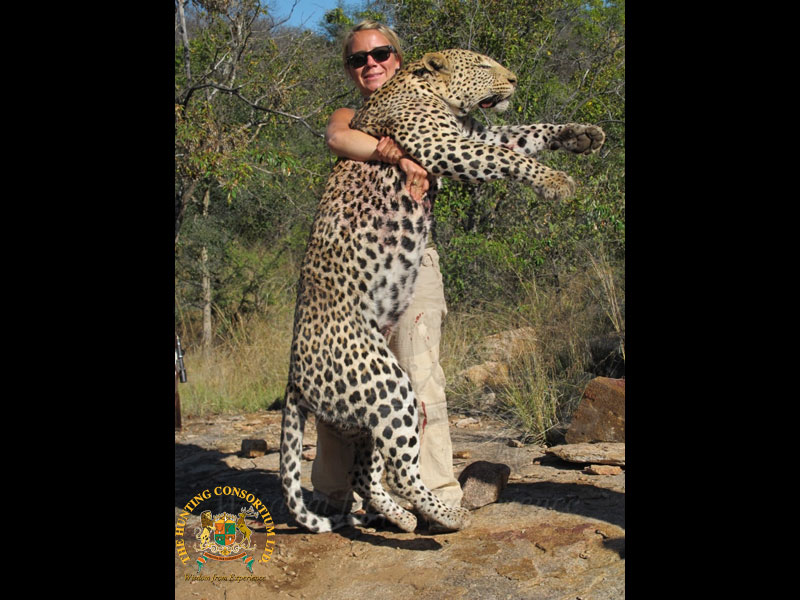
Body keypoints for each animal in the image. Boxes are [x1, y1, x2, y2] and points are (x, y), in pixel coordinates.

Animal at [280, 48, 605, 534]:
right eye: (484, 65)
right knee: (400, 469)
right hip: (388, 385)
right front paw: (555, 182)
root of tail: (293, 376)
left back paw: (402, 518)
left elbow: (524, 133)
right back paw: (448, 516)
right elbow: (508, 156)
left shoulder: (473, 134)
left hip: (368, 413)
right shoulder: (442, 145)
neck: (430, 91)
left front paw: (581, 135)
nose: (514, 79)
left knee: (365, 474)